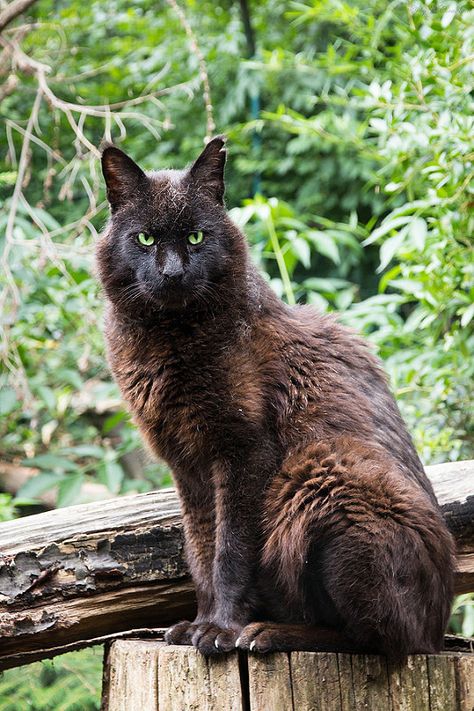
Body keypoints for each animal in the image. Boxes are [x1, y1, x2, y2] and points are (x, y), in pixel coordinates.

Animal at [96, 136, 456, 660]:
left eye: (197, 237)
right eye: (145, 239)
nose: (173, 273)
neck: (172, 336)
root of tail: (438, 629)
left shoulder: (244, 452)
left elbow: (230, 550)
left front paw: (221, 629)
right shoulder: (188, 466)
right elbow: (201, 550)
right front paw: (200, 623)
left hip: (321, 469)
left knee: (379, 640)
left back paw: (266, 633)